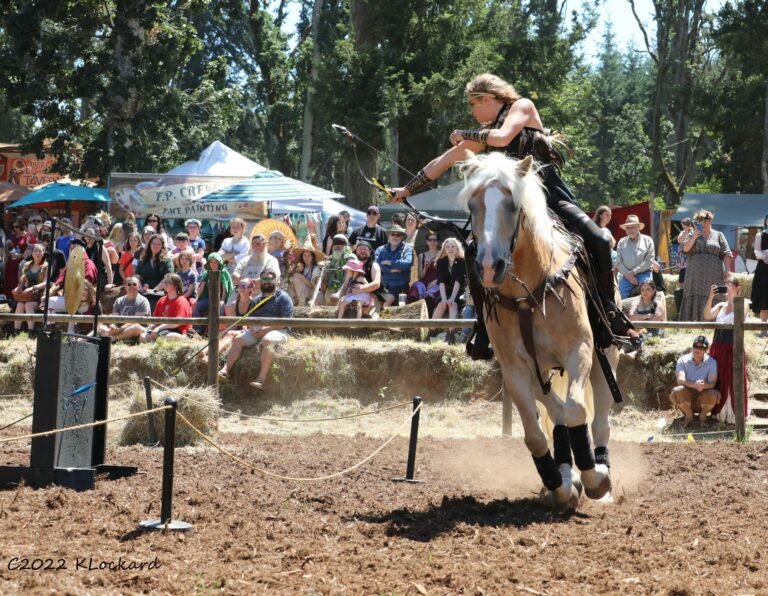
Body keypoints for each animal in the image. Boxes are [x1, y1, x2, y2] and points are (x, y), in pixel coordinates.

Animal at [456, 152, 616, 508]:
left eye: (513, 205)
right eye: (472, 205)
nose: (489, 267)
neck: (528, 295)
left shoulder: (580, 349)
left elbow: (577, 411)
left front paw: (593, 477)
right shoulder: (515, 368)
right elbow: (535, 435)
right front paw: (561, 484)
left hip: (605, 350)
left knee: (599, 406)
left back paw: (600, 466)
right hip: (538, 370)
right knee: (555, 412)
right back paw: (567, 472)